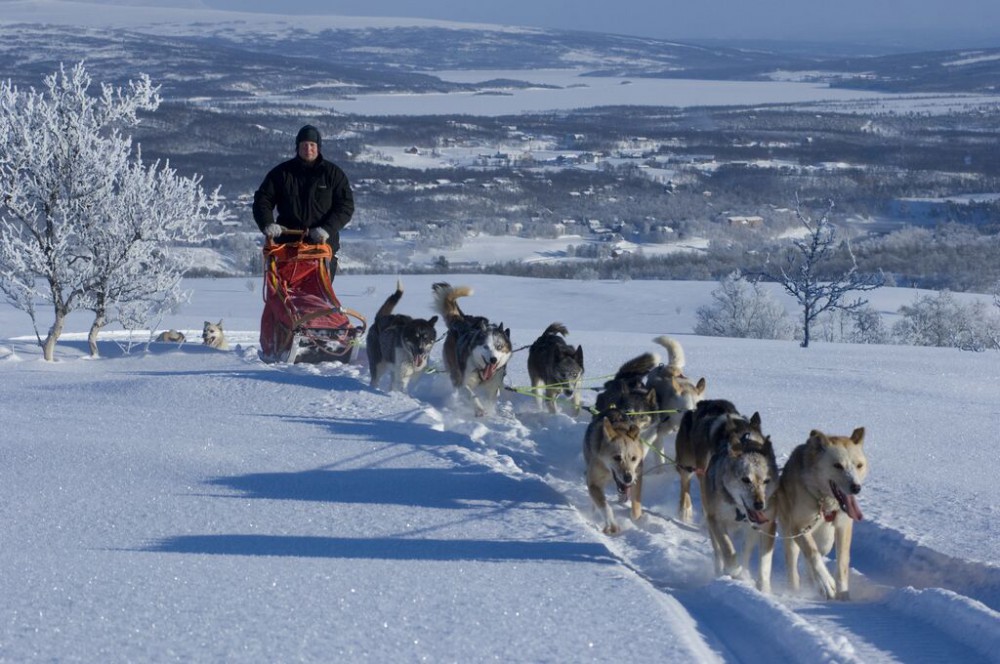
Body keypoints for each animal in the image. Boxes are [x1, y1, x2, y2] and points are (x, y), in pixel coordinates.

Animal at [772, 428, 868, 600]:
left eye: (859, 465)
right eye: (838, 465)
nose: (856, 487)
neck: (824, 501)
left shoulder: (843, 526)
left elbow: (842, 563)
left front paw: (843, 594)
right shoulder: (799, 527)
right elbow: (813, 554)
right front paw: (827, 582)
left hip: (825, 540)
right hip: (790, 535)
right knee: (794, 565)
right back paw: (796, 590)